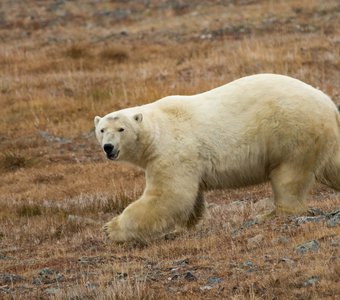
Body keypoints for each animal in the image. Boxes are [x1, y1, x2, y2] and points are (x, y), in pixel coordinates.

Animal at [93, 74, 340, 243]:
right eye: (102, 130)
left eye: (121, 129)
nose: (108, 147)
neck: (157, 130)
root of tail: (328, 101)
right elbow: (190, 199)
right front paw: (181, 227)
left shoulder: (172, 151)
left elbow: (169, 195)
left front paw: (110, 229)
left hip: (292, 132)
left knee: (289, 177)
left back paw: (270, 214)